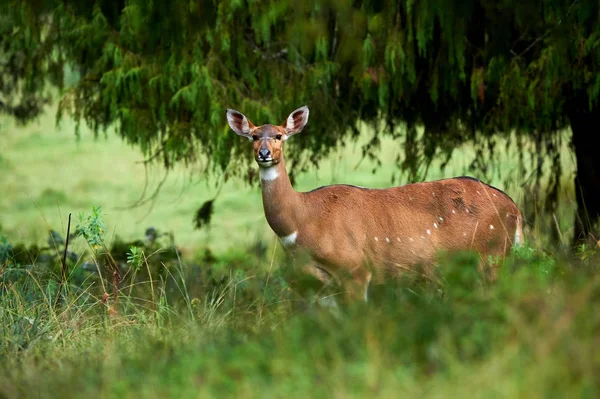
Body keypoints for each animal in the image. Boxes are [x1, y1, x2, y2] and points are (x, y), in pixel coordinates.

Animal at [225, 106, 520, 304]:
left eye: (279, 135)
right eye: (253, 136)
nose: (264, 154)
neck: (303, 222)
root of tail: (514, 209)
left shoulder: (355, 268)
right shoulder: (316, 281)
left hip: (490, 255)